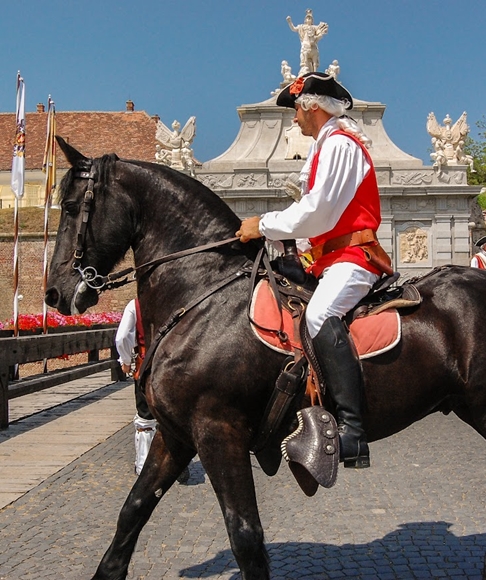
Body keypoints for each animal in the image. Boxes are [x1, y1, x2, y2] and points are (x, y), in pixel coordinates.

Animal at [46, 136, 486, 580]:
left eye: (71, 206)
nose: (54, 293)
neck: (202, 292)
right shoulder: (176, 434)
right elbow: (133, 510)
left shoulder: (219, 433)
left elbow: (245, 536)